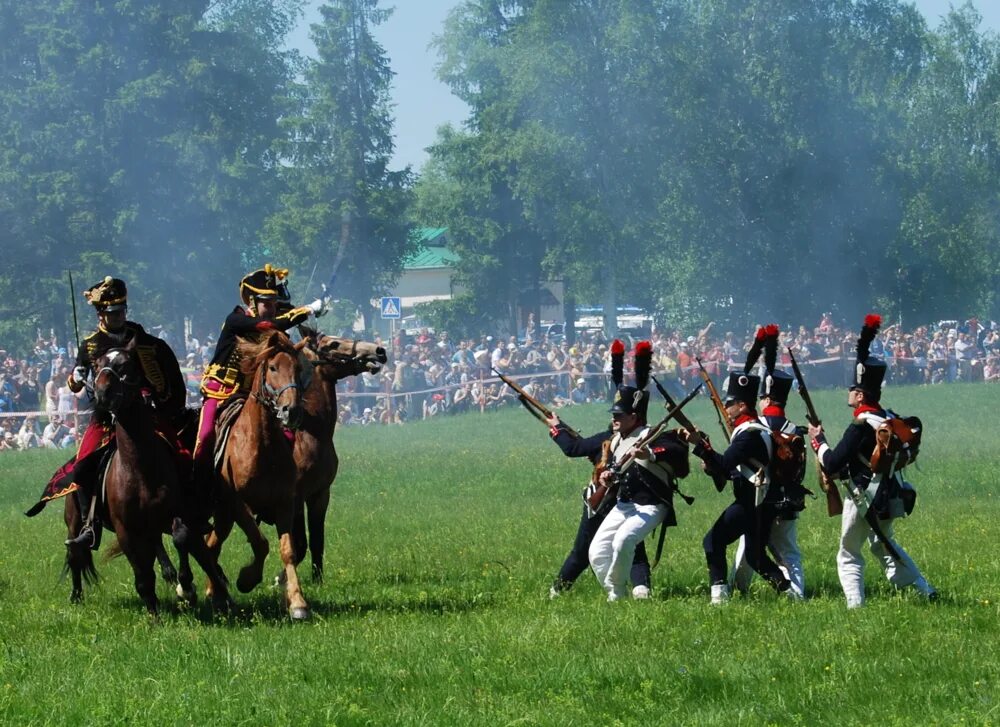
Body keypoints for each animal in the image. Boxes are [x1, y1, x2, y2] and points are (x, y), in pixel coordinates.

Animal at [83, 340, 231, 616]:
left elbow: (182, 538)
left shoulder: (178, 514)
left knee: (196, 550)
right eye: (96, 366)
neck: (138, 468)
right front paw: (154, 612)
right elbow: (143, 575)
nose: (103, 393)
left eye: (126, 364)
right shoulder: (127, 530)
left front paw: (187, 588)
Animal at [203, 330, 312, 620]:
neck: (260, 444)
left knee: (212, 544)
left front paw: (297, 602)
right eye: (272, 367)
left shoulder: (285, 503)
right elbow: (260, 543)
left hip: (224, 517)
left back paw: (215, 593)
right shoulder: (238, 504)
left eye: (298, 369)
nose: (291, 411)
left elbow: (288, 551)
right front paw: (246, 578)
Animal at [290, 332, 386, 584]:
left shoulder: (320, 495)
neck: (310, 435)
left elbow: (316, 542)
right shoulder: (294, 499)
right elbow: (298, 545)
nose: (379, 351)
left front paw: (318, 580)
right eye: (333, 344)